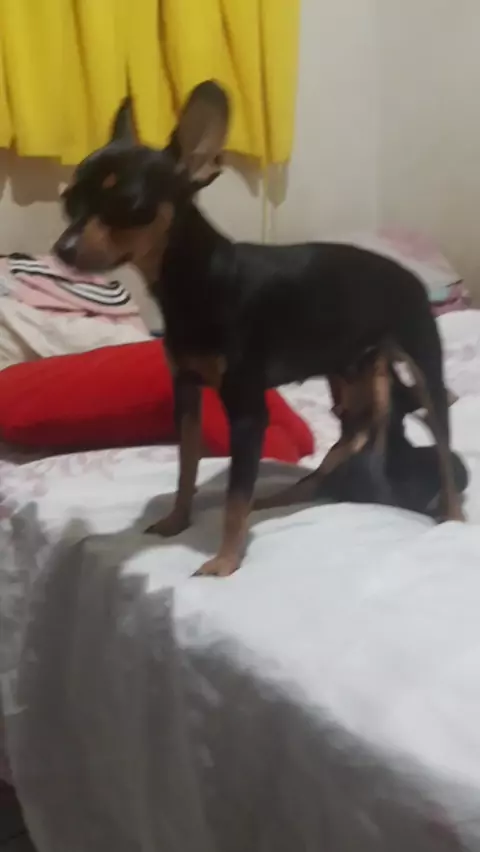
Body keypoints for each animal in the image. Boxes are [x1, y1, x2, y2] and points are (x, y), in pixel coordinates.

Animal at [53, 80, 463, 577]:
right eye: (69, 202)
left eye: (127, 205)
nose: (62, 249)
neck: (197, 280)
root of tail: (408, 274)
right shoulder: (186, 393)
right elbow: (187, 465)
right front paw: (177, 520)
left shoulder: (248, 411)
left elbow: (233, 495)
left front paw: (225, 560)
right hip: (349, 385)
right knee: (346, 445)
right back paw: (280, 497)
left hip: (422, 368)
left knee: (440, 442)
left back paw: (453, 514)